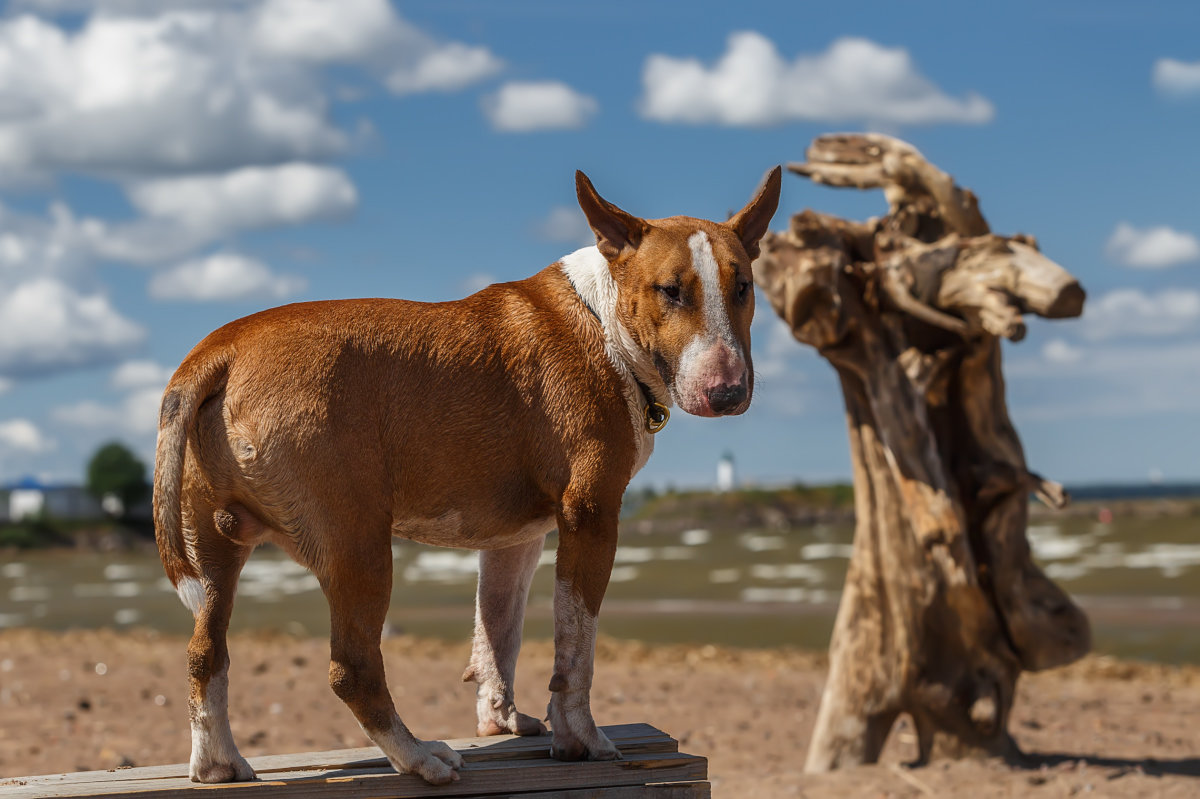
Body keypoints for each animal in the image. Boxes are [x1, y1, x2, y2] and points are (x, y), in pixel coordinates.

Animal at [154, 164, 782, 782]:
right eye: (670, 291)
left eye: (744, 288)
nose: (728, 393)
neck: (605, 320)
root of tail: (221, 348)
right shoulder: (592, 514)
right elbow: (575, 646)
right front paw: (581, 739)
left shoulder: (514, 540)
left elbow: (499, 631)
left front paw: (500, 722)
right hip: (357, 543)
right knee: (352, 667)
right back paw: (419, 757)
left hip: (215, 548)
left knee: (205, 653)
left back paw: (218, 764)